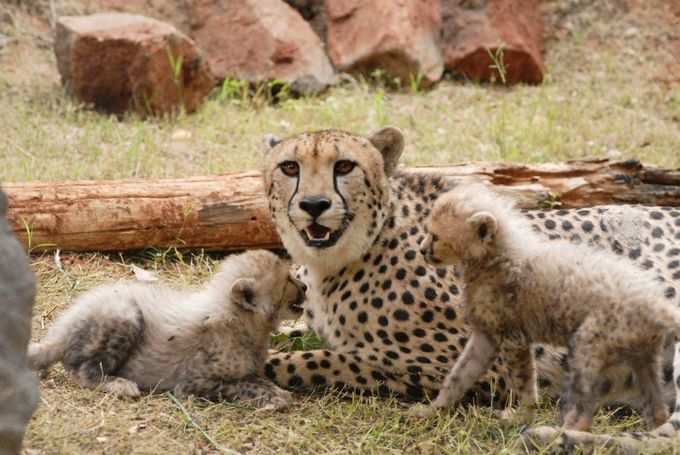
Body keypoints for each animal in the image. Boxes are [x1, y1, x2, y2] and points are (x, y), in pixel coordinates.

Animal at [258, 128, 680, 448]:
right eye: (290, 167)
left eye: (344, 166)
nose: (314, 204)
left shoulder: (471, 361)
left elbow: (313, 360)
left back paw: (553, 436)